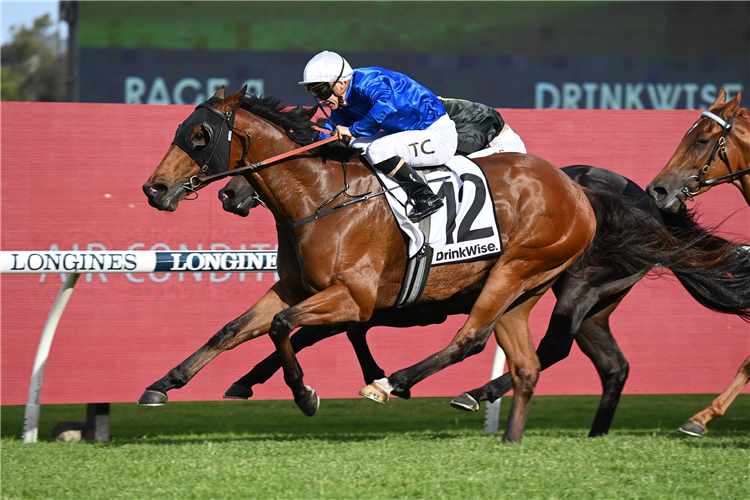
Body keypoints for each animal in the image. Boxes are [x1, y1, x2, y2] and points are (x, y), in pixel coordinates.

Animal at [141, 86, 605, 442]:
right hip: (523, 289)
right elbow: (231, 330)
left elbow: (282, 326)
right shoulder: (293, 288)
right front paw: (162, 385)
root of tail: (574, 189)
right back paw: (509, 436)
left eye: (200, 135)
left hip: (515, 269)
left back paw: (390, 383)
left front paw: (305, 395)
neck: (320, 197)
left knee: (470, 338)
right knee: (526, 366)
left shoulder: (355, 297)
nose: (154, 189)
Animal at [218, 166, 750, 437]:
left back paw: (468, 391)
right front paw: (248, 380)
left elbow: (318, 329)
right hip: (597, 301)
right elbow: (327, 330)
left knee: (548, 345)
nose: (231, 194)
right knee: (610, 363)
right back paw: (593, 431)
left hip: (574, 286)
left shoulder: (384, 299)